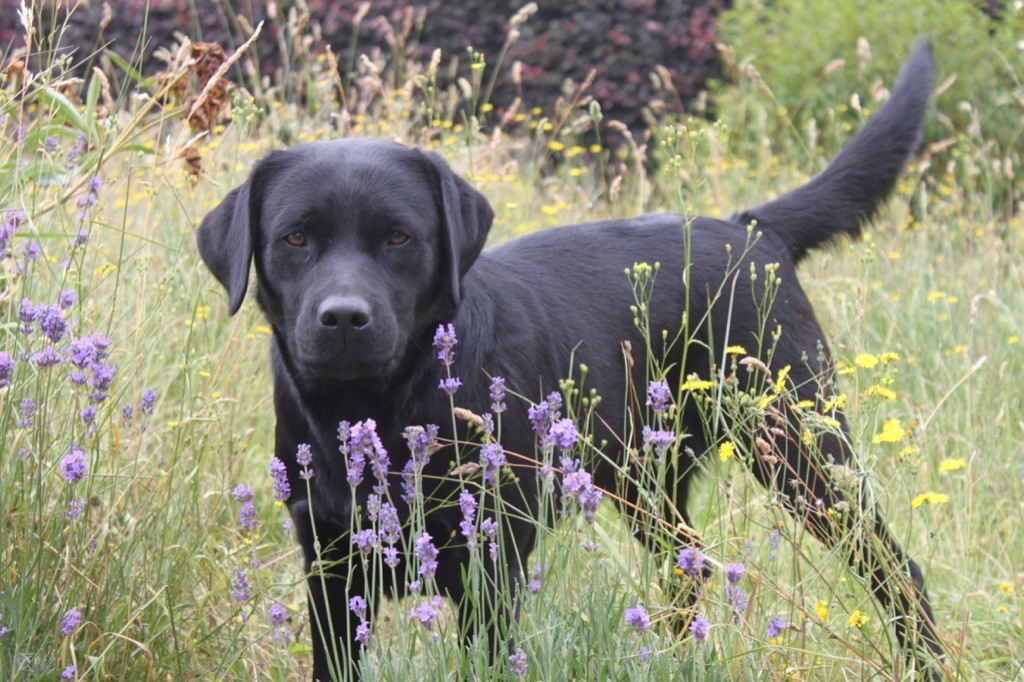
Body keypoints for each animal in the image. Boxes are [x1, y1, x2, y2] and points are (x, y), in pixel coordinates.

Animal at [197, 42, 942, 679]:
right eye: (295, 238)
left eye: (400, 237)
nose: (345, 318)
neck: (378, 405)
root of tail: (752, 230)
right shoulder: (329, 563)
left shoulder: (490, 558)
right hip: (647, 479)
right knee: (689, 569)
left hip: (802, 451)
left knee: (899, 569)